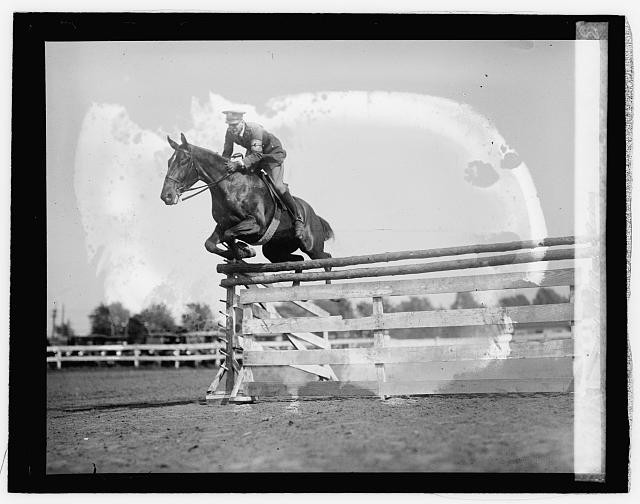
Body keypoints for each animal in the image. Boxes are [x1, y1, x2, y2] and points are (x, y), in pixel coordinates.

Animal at [160, 133, 335, 265]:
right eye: (169, 161)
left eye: (183, 161)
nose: (166, 196)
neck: (229, 186)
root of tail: (314, 215)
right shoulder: (223, 224)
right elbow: (210, 244)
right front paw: (241, 252)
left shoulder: (256, 224)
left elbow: (229, 235)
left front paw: (244, 250)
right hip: (274, 250)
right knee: (297, 259)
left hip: (312, 247)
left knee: (326, 259)